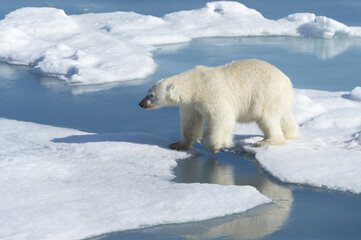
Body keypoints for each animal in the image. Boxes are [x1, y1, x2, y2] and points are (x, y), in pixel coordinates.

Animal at [139, 60, 300, 154]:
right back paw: (291, 135)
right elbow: (190, 122)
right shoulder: (190, 105)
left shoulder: (211, 93)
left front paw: (215, 146)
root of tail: (286, 80)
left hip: (266, 94)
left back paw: (266, 141)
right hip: (280, 99)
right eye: (147, 92)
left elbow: (221, 117)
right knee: (286, 118)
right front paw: (178, 144)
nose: (141, 103)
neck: (194, 85)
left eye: (151, 95)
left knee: (267, 118)